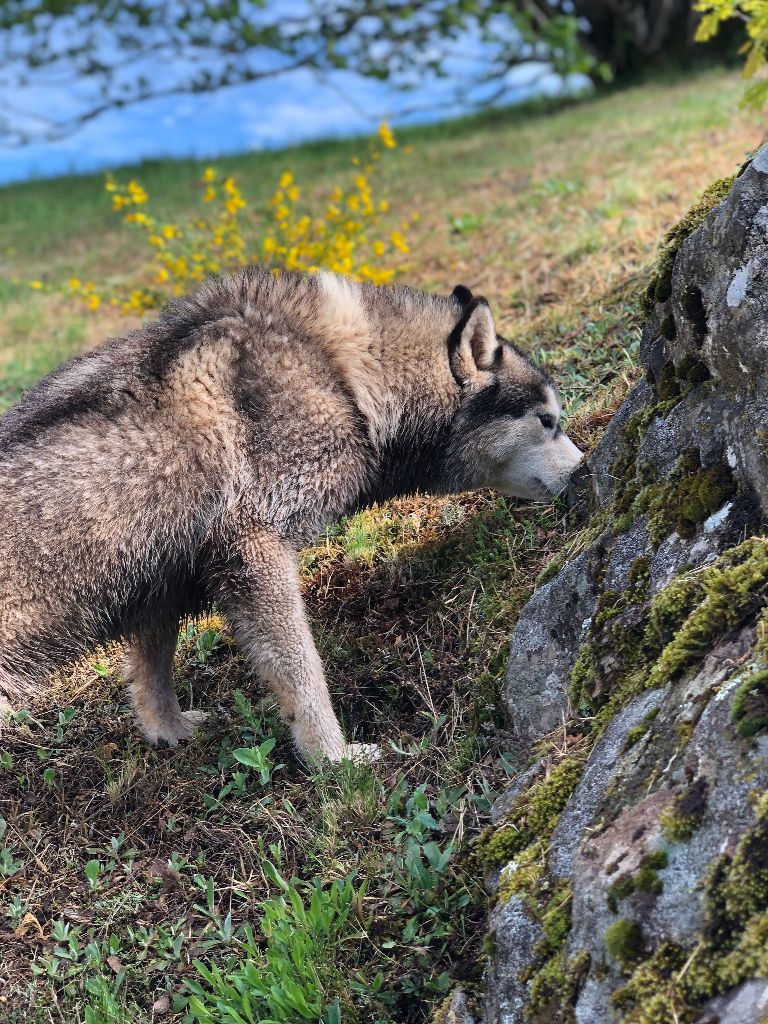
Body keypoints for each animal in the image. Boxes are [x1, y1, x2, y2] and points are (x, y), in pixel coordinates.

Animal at [0, 268, 581, 765]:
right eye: (547, 421)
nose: (585, 472)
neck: (340, 374)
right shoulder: (256, 553)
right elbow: (304, 674)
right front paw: (334, 759)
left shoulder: (161, 580)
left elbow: (150, 674)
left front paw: (168, 731)